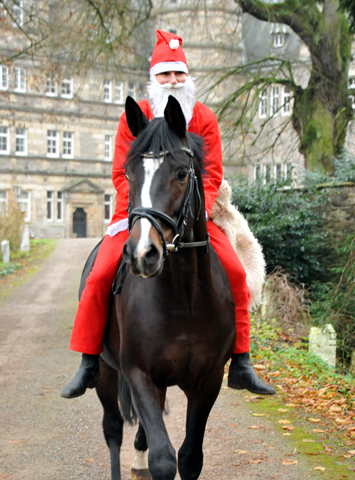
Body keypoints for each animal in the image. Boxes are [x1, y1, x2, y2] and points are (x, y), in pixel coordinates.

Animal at [96, 95, 238, 480]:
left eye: (181, 173)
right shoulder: (139, 374)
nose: (142, 253)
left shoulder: (207, 381)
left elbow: (189, 458)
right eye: (128, 173)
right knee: (113, 429)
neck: (183, 298)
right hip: (105, 372)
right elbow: (163, 459)